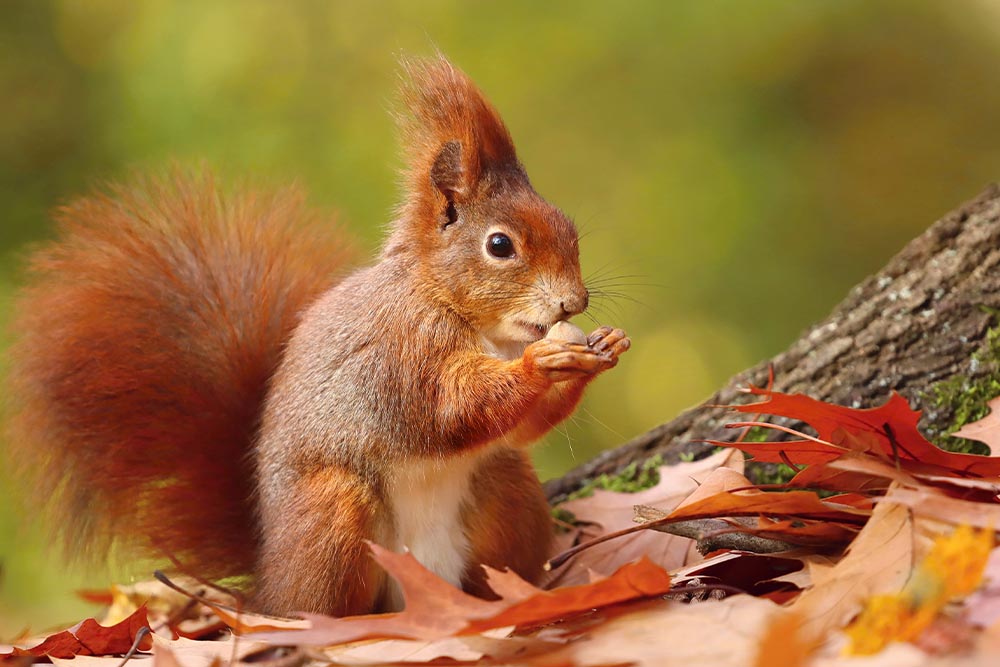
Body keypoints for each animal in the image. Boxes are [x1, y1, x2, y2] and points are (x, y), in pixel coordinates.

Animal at [7, 56, 628, 616]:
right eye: (500, 245)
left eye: (569, 228)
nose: (575, 302)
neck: (473, 321)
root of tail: (268, 576)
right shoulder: (400, 352)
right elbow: (451, 407)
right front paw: (540, 363)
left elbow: (521, 428)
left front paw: (603, 349)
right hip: (333, 512)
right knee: (324, 603)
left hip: (505, 491)